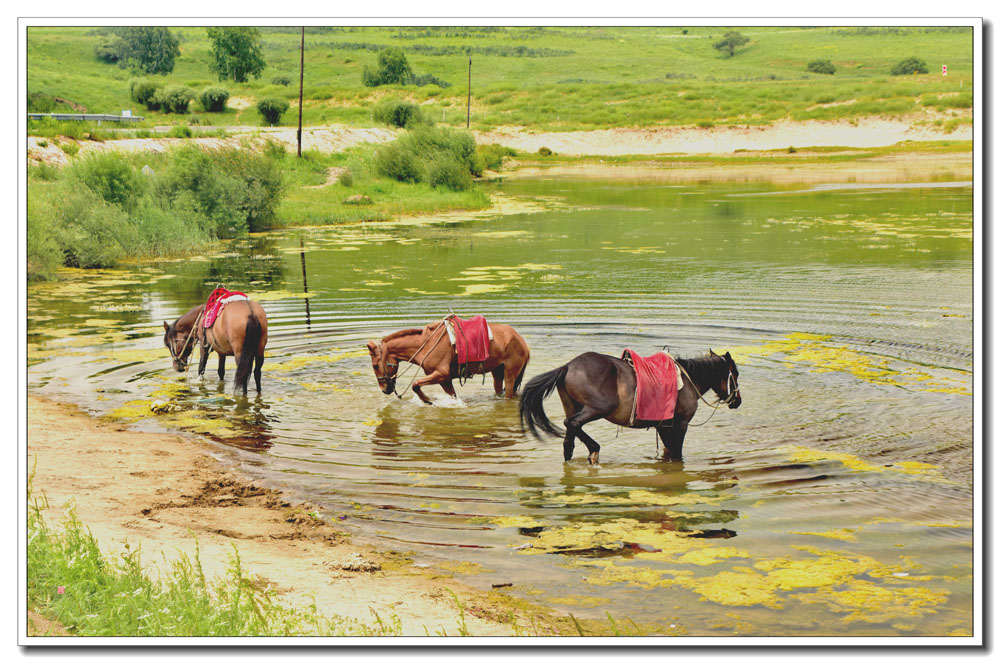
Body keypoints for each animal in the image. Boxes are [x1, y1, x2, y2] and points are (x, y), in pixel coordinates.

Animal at [368, 320, 532, 402]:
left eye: (375, 365)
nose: (385, 389)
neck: (426, 344)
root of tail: (522, 342)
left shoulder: (441, 374)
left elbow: (415, 384)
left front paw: (427, 400)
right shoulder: (444, 380)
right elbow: (452, 396)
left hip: (510, 374)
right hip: (497, 372)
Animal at [520, 350, 740, 464]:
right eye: (735, 374)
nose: (737, 400)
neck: (687, 381)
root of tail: (568, 366)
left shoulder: (664, 426)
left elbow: (669, 450)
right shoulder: (680, 424)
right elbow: (676, 453)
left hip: (572, 405)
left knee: (569, 437)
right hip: (598, 408)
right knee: (572, 423)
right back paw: (594, 449)